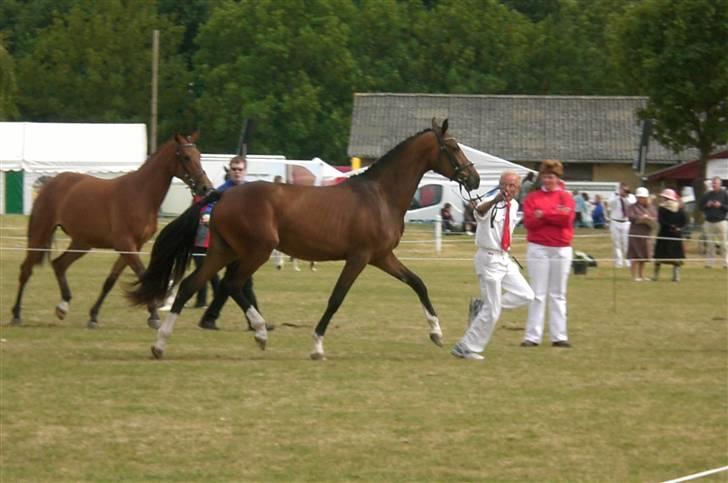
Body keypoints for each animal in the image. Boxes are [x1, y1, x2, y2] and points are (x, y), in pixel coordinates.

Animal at [11, 132, 213, 328]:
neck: (141, 194)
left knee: (59, 264)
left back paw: (63, 306)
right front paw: (154, 316)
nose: (206, 187)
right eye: (186, 157)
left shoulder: (133, 247)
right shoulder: (126, 245)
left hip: (82, 243)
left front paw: (93, 316)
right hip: (40, 234)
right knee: (26, 270)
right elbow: (143, 276)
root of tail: (51, 183)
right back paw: (16, 314)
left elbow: (111, 280)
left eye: (199, 155)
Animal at [128, 118, 480, 360]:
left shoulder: (383, 257)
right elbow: (336, 298)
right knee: (232, 285)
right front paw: (317, 346)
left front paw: (436, 332)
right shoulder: (360, 258)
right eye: (452, 147)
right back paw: (260, 333)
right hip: (256, 251)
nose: (474, 178)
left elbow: (418, 283)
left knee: (191, 285)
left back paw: (160, 344)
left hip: (222, 251)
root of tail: (222, 195)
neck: (380, 196)